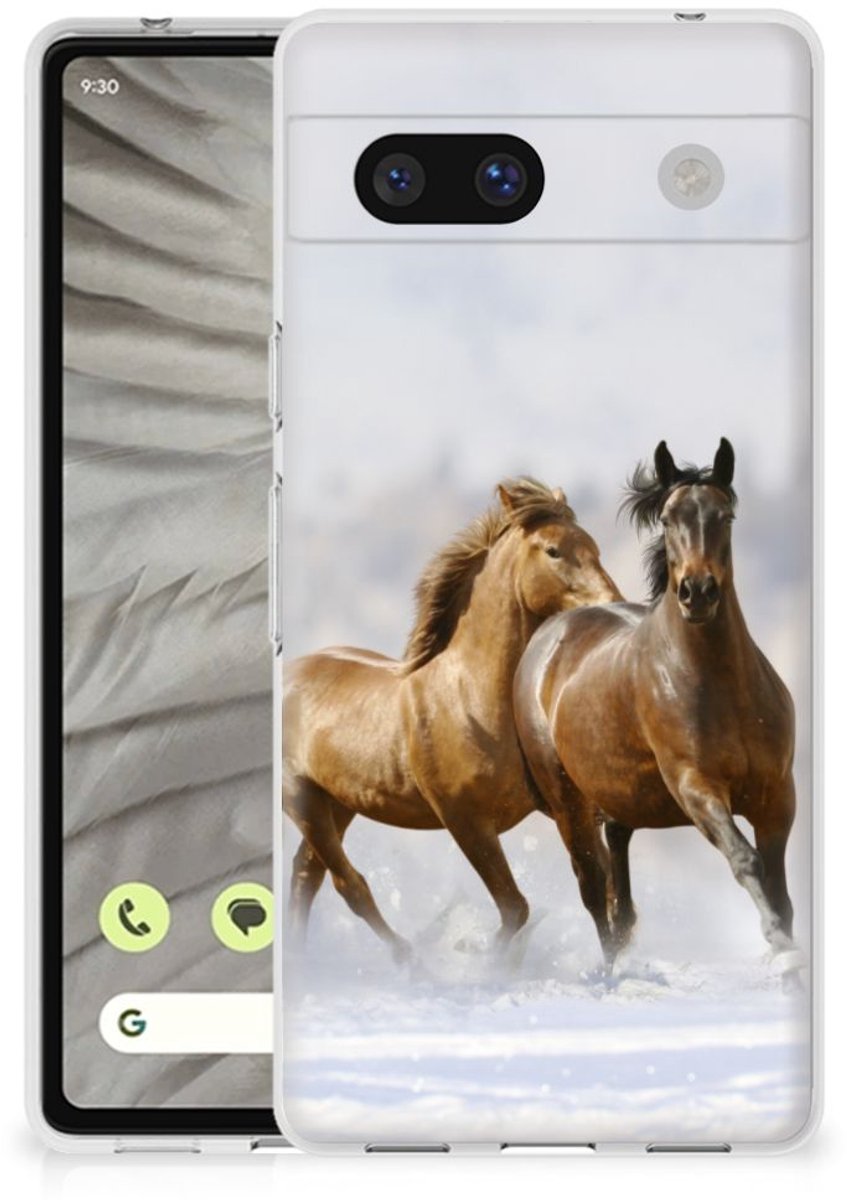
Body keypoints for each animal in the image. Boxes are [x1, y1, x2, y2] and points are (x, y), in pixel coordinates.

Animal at [283, 478, 621, 961]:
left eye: (593, 546)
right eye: (553, 550)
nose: (613, 604)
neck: (471, 700)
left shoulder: (563, 807)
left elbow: (599, 887)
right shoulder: (465, 820)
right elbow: (515, 908)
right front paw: (479, 957)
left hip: (339, 802)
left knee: (305, 875)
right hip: (302, 799)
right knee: (349, 885)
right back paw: (410, 959)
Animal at [514, 439, 797, 969]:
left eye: (726, 515)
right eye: (667, 518)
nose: (697, 592)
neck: (723, 688)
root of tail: (548, 636)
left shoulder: (777, 796)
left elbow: (779, 888)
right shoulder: (696, 787)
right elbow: (745, 860)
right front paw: (781, 947)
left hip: (618, 799)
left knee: (619, 893)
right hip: (568, 804)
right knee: (593, 890)